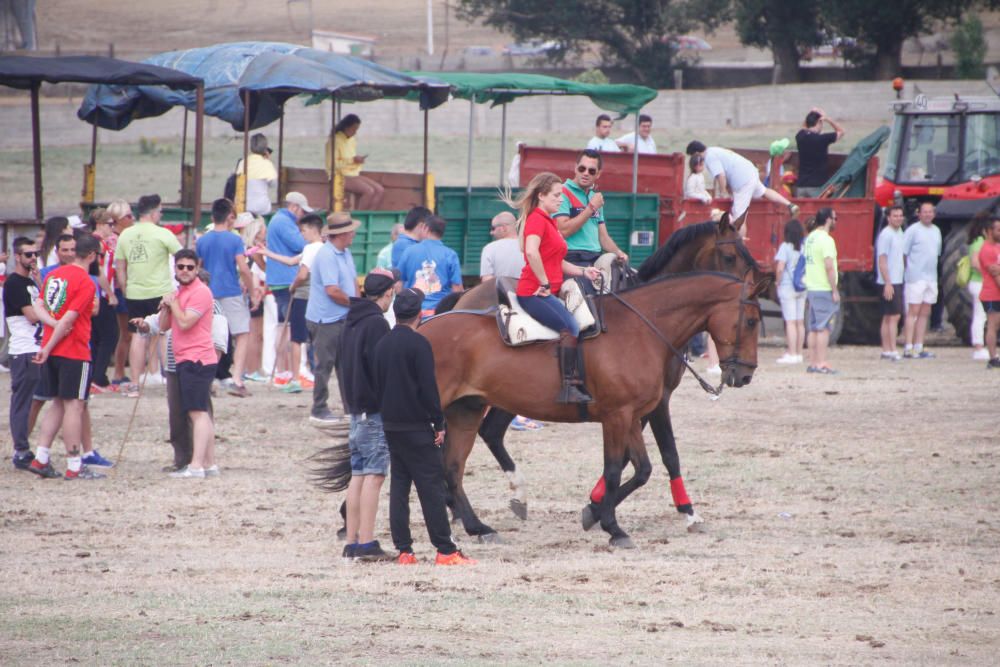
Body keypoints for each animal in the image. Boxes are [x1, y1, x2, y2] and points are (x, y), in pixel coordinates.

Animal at [440, 214, 756, 528]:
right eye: (730, 256)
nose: (745, 374)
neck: (648, 322)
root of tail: (466, 295)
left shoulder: (639, 405)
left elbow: (635, 457)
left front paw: (598, 503)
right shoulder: (653, 401)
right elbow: (666, 454)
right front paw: (683, 510)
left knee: (488, 433)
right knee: (483, 433)